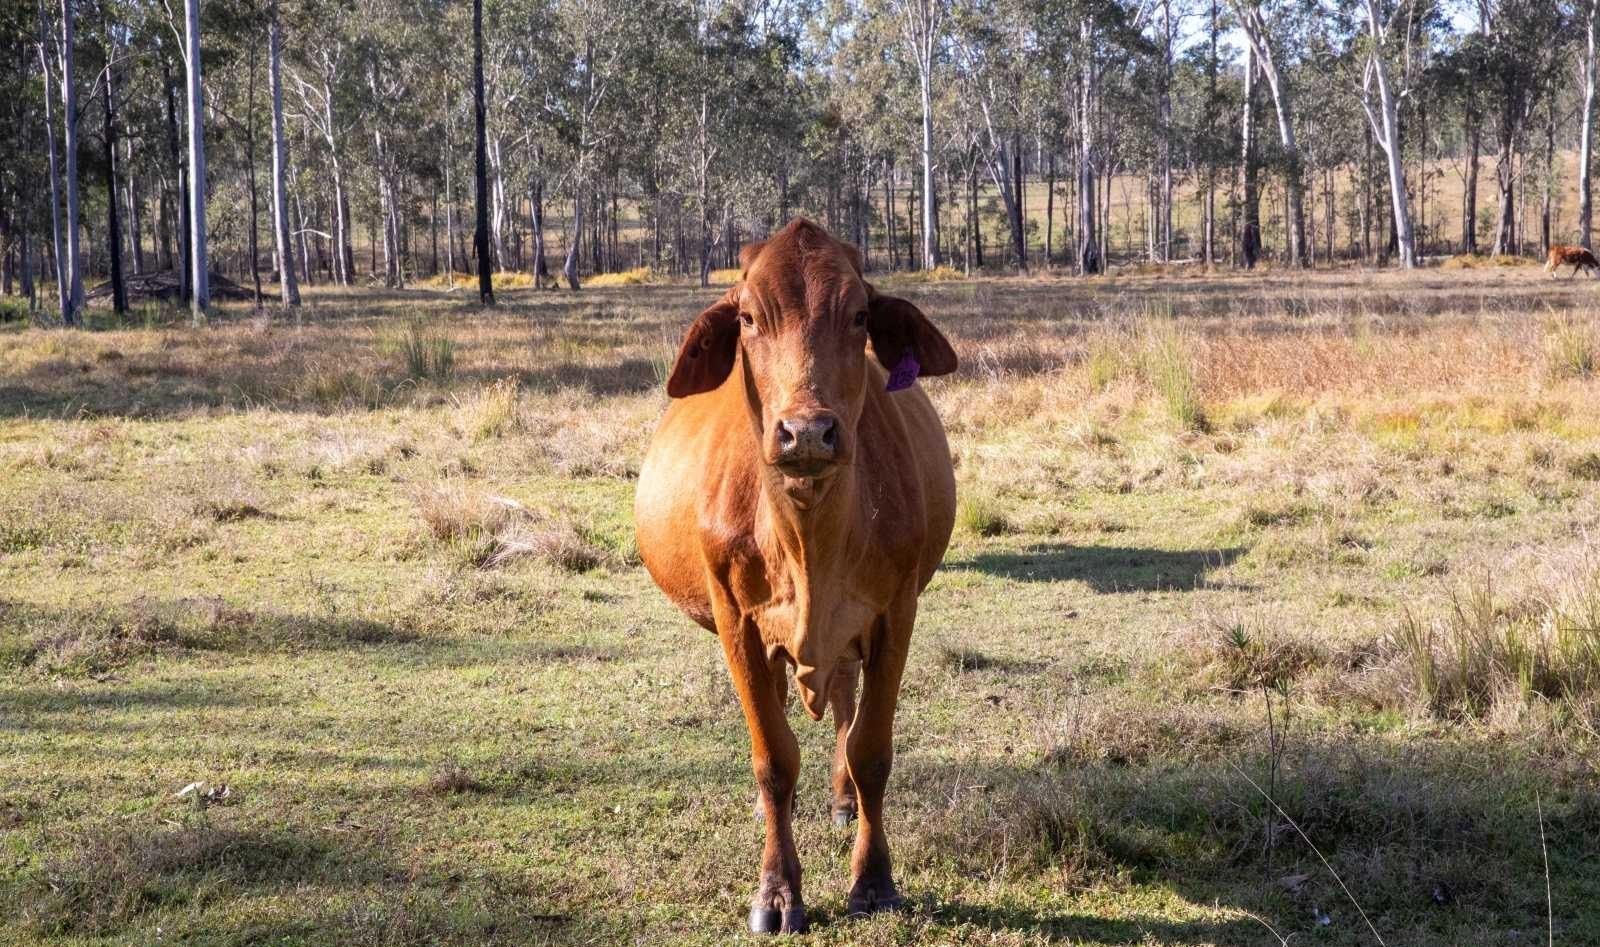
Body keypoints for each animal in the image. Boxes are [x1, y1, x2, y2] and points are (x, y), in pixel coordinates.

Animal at [634, 218, 958, 935]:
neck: (809, 543)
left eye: (860, 314)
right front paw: (777, 892)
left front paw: (874, 880)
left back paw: (841, 801)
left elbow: (870, 749)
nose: (806, 431)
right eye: (749, 317)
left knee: (842, 705)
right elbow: (774, 757)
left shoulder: (894, 614)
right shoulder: (738, 622)